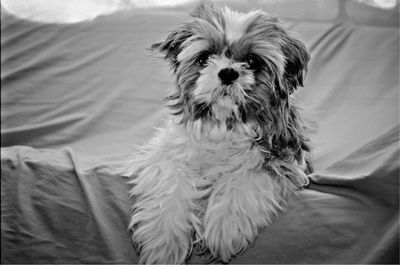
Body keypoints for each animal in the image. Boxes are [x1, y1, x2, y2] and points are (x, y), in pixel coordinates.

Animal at [127, 3, 312, 262]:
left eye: (252, 60)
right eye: (205, 57)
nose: (227, 72)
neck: (225, 123)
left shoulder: (281, 157)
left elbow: (245, 178)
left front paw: (225, 227)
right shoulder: (165, 153)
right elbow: (171, 182)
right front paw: (163, 241)